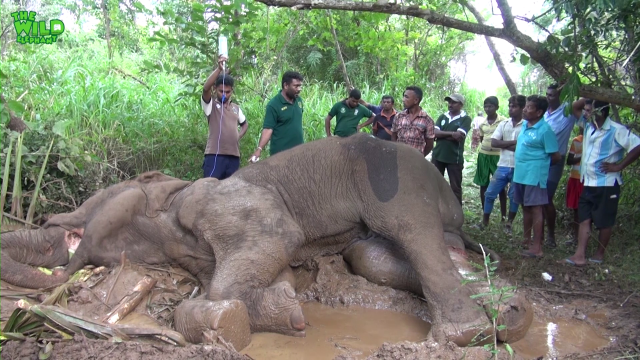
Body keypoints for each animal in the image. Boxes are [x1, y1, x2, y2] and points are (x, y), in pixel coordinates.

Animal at [2, 134, 504, 348]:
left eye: (77, 220)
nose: (49, 224)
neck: (174, 195)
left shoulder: (221, 206)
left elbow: (273, 245)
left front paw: (223, 324)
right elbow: (270, 270)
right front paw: (288, 313)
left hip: (396, 181)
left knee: (412, 232)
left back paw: (467, 334)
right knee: (378, 254)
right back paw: (509, 312)